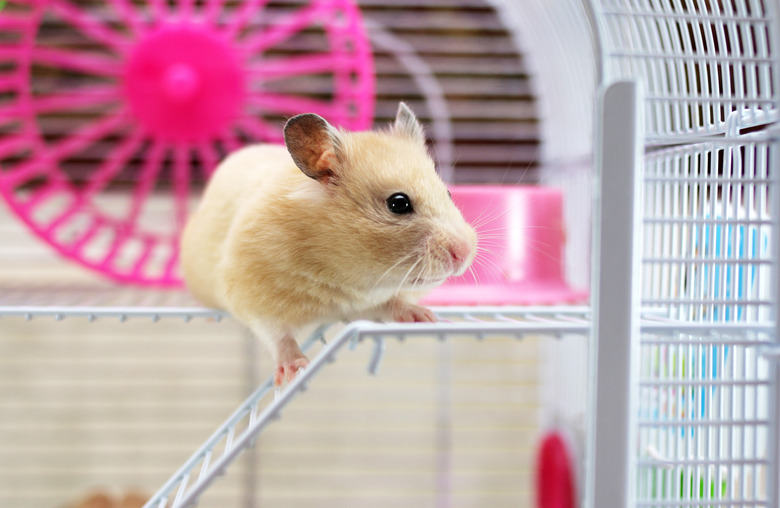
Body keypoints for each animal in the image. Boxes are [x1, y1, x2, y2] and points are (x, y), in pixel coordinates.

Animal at [180, 103, 477, 386]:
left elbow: (393, 303)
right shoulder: (251, 294)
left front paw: (425, 316)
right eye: (398, 203)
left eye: (448, 193)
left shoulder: (367, 302)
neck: (344, 276)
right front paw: (294, 369)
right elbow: (277, 334)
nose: (464, 254)